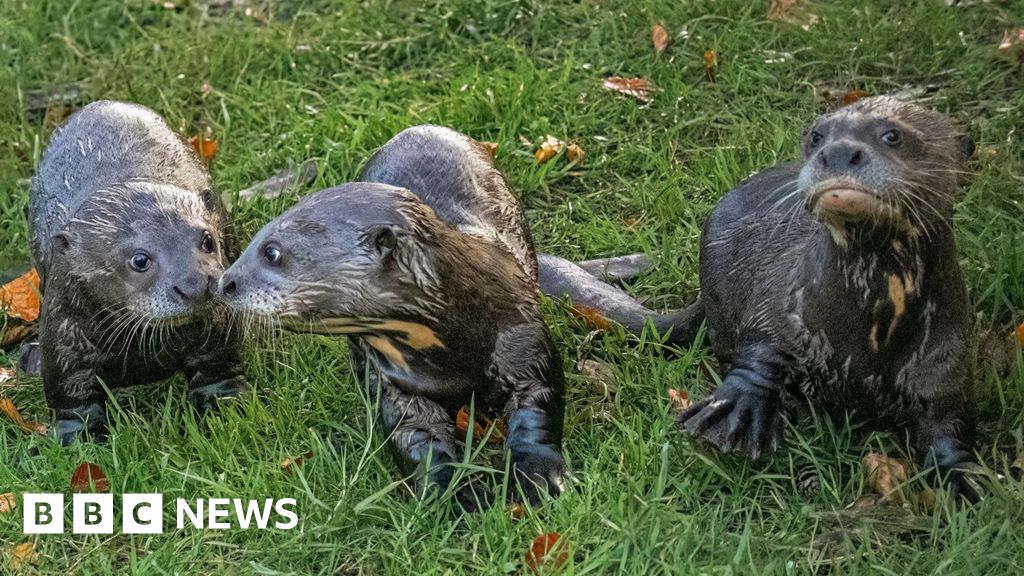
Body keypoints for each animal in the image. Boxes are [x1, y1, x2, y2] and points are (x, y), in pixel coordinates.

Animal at [29, 100, 247, 445]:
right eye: (140, 260)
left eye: (207, 240)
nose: (196, 285)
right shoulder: (62, 336)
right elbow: (72, 398)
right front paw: (76, 438)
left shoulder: (217, 323)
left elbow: (217, 366)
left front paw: (222, 403)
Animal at [218, 125, 566, 505]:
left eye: (272, 252)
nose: (224, 282)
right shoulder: (392, 381)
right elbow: (415, 435)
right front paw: (449, 492)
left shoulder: (521, 332)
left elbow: (538, 400)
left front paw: (536, 473)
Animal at [540, 97, 979, 499]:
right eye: (817, 135)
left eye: (892, 135)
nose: (837, 151)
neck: (868, 337)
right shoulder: (778, 304)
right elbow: (760, 352)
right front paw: (734, 411)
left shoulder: (945, 363)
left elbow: (949, 424)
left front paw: (963, 481)